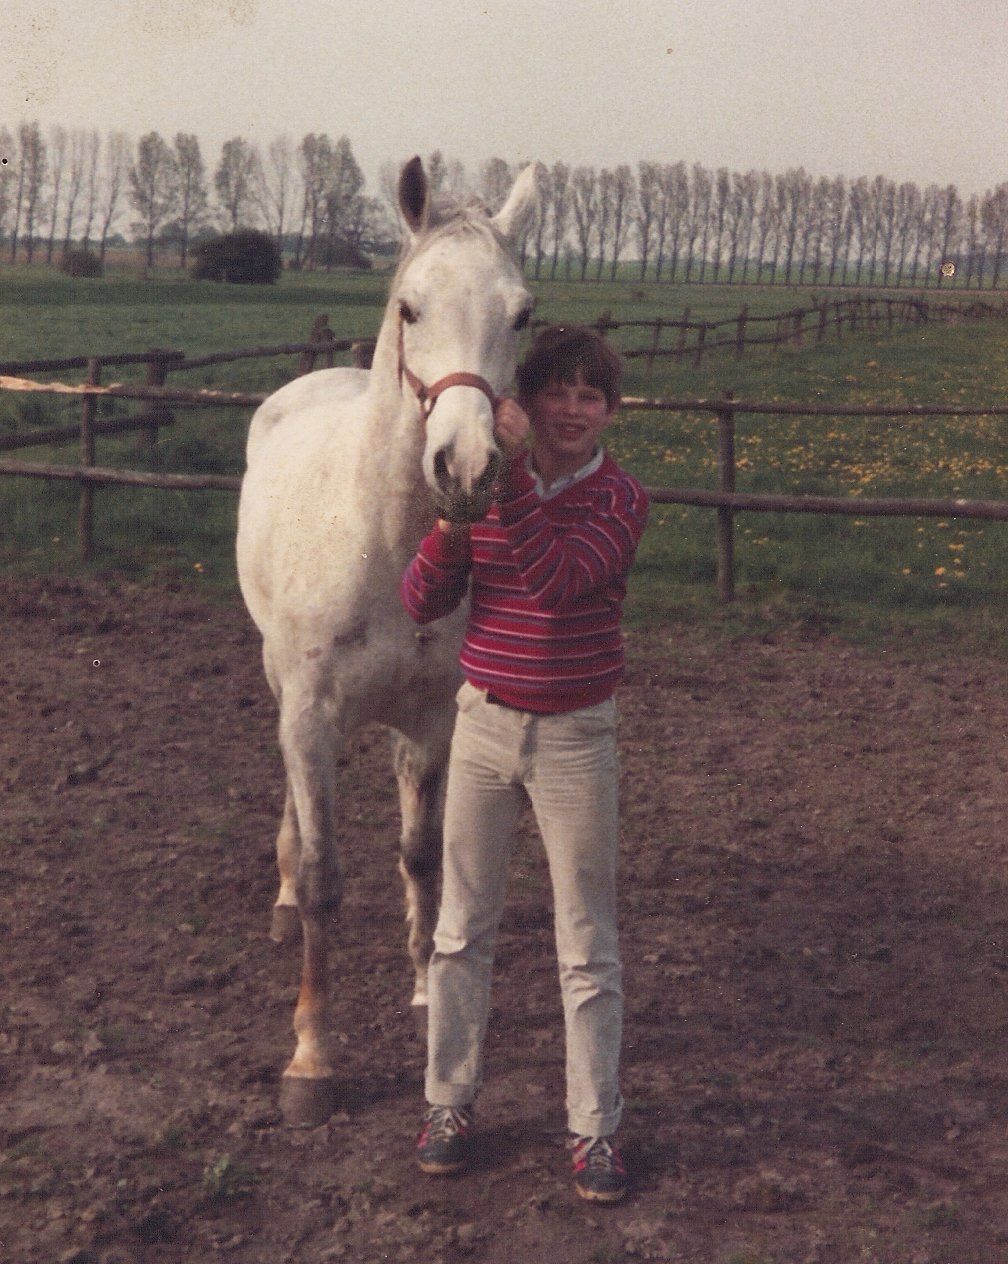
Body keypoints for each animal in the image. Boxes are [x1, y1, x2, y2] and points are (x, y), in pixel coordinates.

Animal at [236, 156, 539, 1126]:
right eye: (410, 306)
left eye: (523, 313)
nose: (467, 467)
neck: (384, 541)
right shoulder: (310, 715)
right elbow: (326, 875)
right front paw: (312, 1060)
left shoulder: (434, 718)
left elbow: (423, 854)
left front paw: (423, 988)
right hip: (279, 687)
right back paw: (280, 896)